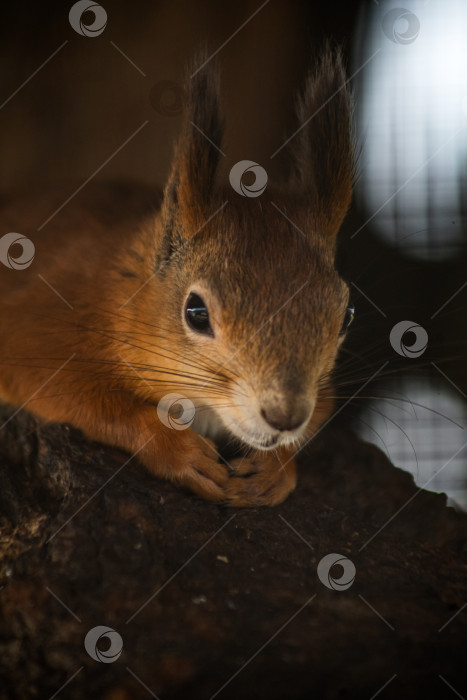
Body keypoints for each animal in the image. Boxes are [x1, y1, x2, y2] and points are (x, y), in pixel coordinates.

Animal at [0, 50, 352, 508]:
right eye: (196, 313)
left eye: (346, 316)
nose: (284, 416)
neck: (122, 292)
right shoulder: (34, 330)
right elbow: (78, 398)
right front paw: (174, 448)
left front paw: (276, 468)